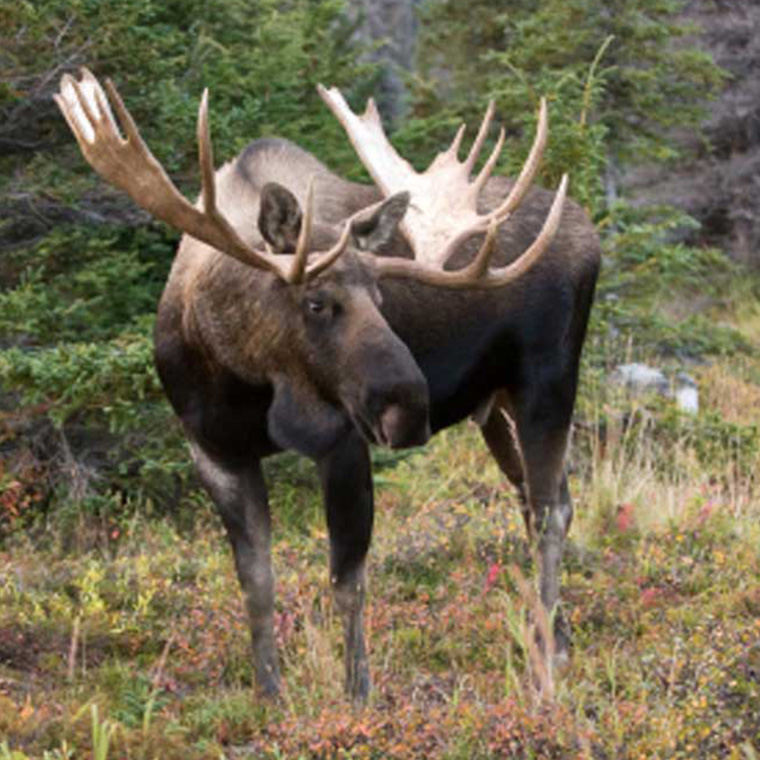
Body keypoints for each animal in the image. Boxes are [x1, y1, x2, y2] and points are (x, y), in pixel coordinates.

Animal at [55, 68, 600, 703]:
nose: (410, 406)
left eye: (381, 297)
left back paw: (543, 663)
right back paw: (558, 640)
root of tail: (588, 229)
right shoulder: (213, 450)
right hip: (495, 406)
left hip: (548, 382)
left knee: (549, 511)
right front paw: (269, 693)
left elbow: (347, 577)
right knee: (542, 500)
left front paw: (357, 691)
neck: (243, 377)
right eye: (316, 302)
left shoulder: (342, 440)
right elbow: (255, 580)